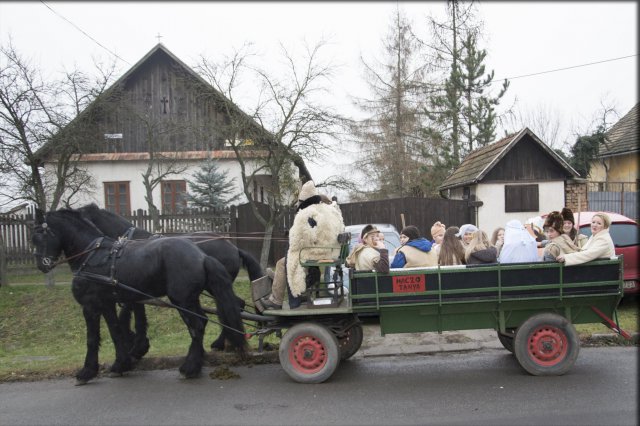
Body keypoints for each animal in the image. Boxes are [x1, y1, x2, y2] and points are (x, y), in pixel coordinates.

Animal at [31, 208, 248, 384]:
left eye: (38, 236)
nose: (42, 265)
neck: (91, 254)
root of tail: (201, 256)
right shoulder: (109, 302)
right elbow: (116, 330)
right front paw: (122, 362)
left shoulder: (91, 304)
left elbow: (93, 338)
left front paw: (87, 371)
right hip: (192, 297)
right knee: (209, 318)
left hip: (182, 299)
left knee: (197, 326)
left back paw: (191, 367)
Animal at [75, 203, 262, 352]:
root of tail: (234, 248)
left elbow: (126, 314)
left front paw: (134, 343)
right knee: (236, 304)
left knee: (232, 305)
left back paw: (221, 342)